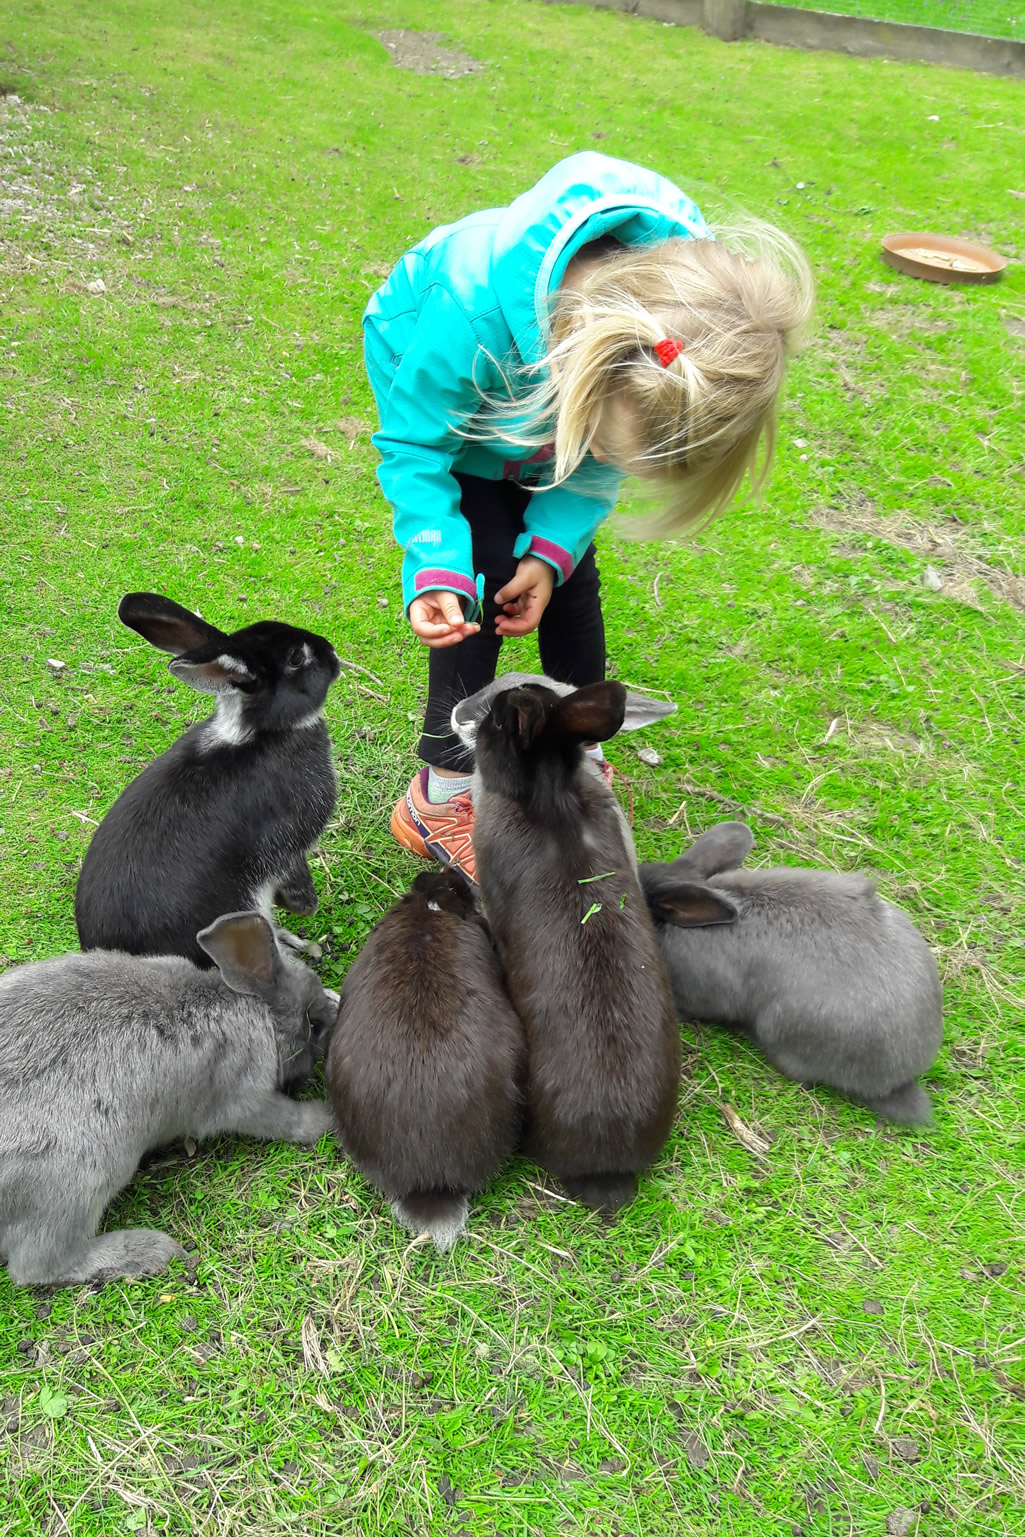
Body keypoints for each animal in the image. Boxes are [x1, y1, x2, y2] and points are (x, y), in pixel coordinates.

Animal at [0, 909, 336, 1284]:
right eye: (314, 1024)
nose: (330, 1032)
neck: (255, 1008)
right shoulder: (247, 1096)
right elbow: (286, 1120)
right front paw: (324, 1115)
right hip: (78, 1181)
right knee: (38, 1265)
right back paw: (150, 1251)